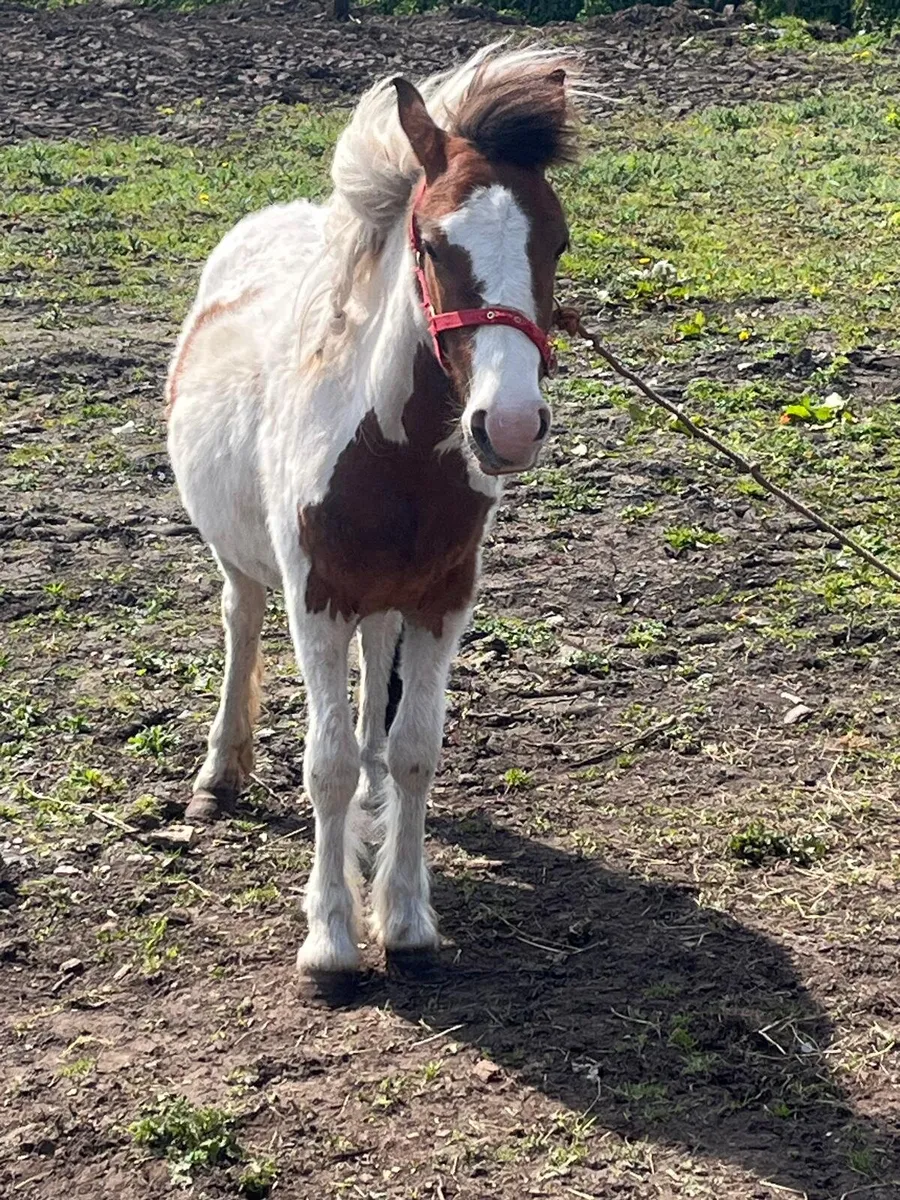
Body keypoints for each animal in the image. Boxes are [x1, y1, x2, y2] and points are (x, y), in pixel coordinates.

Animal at [165, 44, 584, 982]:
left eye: (558, 240)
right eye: (429, 243)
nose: (508, 426)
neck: (391, 459)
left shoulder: (441, 602)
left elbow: (415, 750)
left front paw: (406, 919)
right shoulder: (314, 598)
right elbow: (321, 765)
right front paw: (330, 941)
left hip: (388, 600)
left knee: (375, 683)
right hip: (244, 560)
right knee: (240, 621)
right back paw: (220, 773)